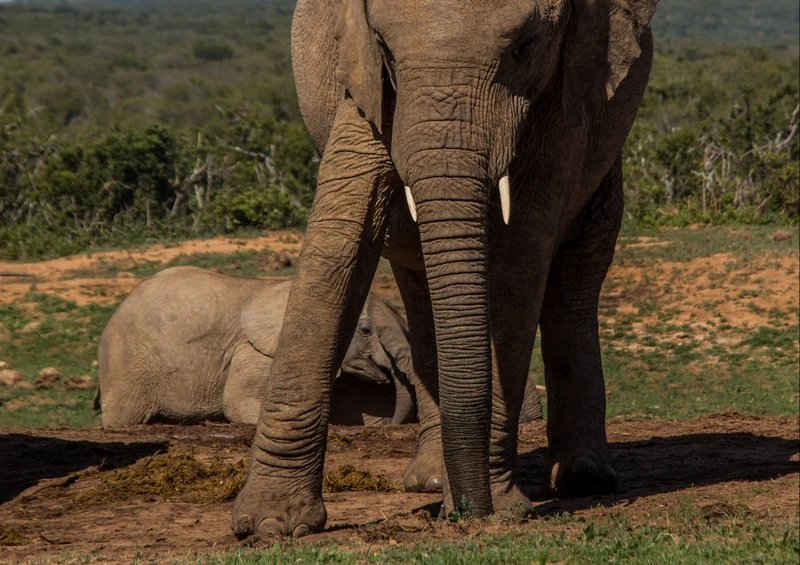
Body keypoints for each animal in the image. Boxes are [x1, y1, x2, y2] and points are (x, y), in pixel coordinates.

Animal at [232, 0, 658, 537]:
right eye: (385, 49)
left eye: (525, 47)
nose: (473, 514)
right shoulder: (365, 85)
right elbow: (338, 237)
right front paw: (269, 524)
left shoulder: (568, 86)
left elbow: (521, 259)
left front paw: (500, 504)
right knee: (419, 283)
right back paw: (434, 481)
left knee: (575, 278)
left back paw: (582, 479)